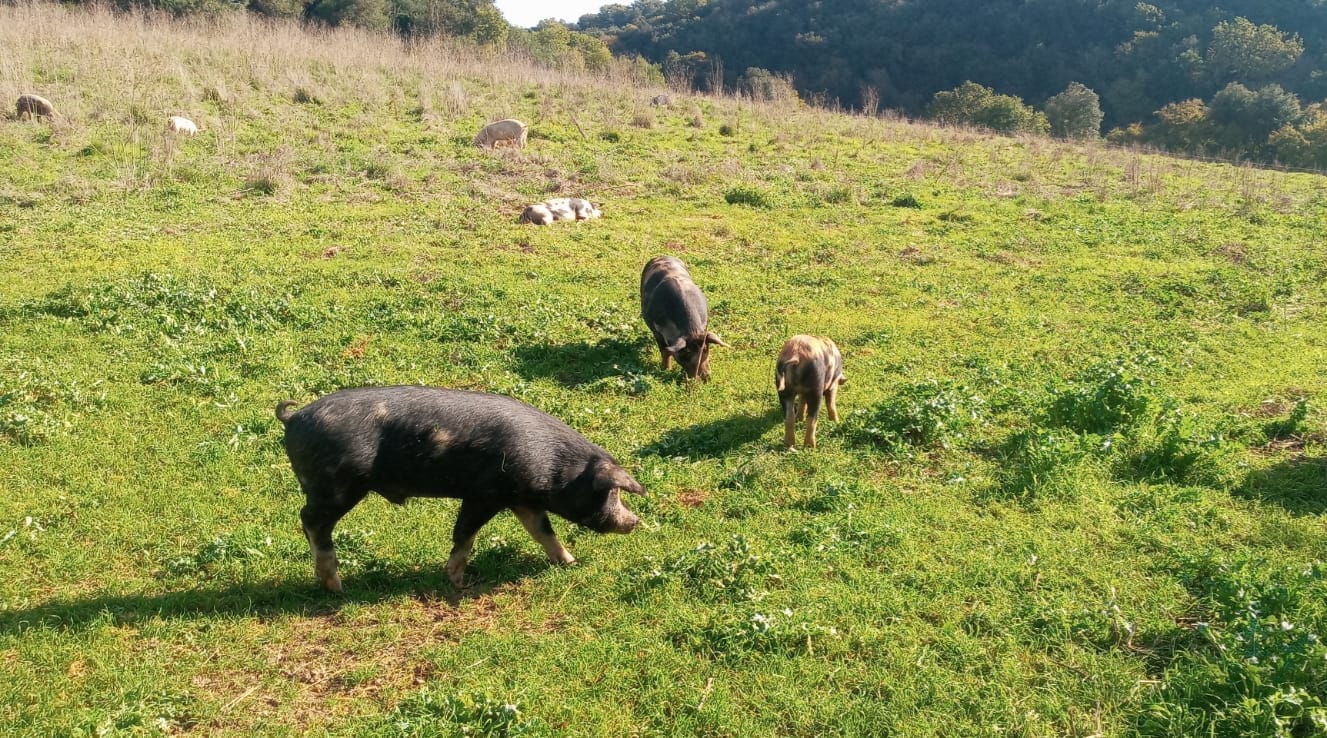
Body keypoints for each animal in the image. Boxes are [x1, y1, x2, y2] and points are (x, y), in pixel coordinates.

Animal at [276, 382, 642, 591]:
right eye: (613, 492)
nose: (635, 521)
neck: (554, 466)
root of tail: (294, 418)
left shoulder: (522, 498)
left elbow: (542, 531)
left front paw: (569, 562)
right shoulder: (484, 494)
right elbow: (465, 533)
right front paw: (457, 582)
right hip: (337, 485)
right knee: (311, 521)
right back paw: (336, 587)